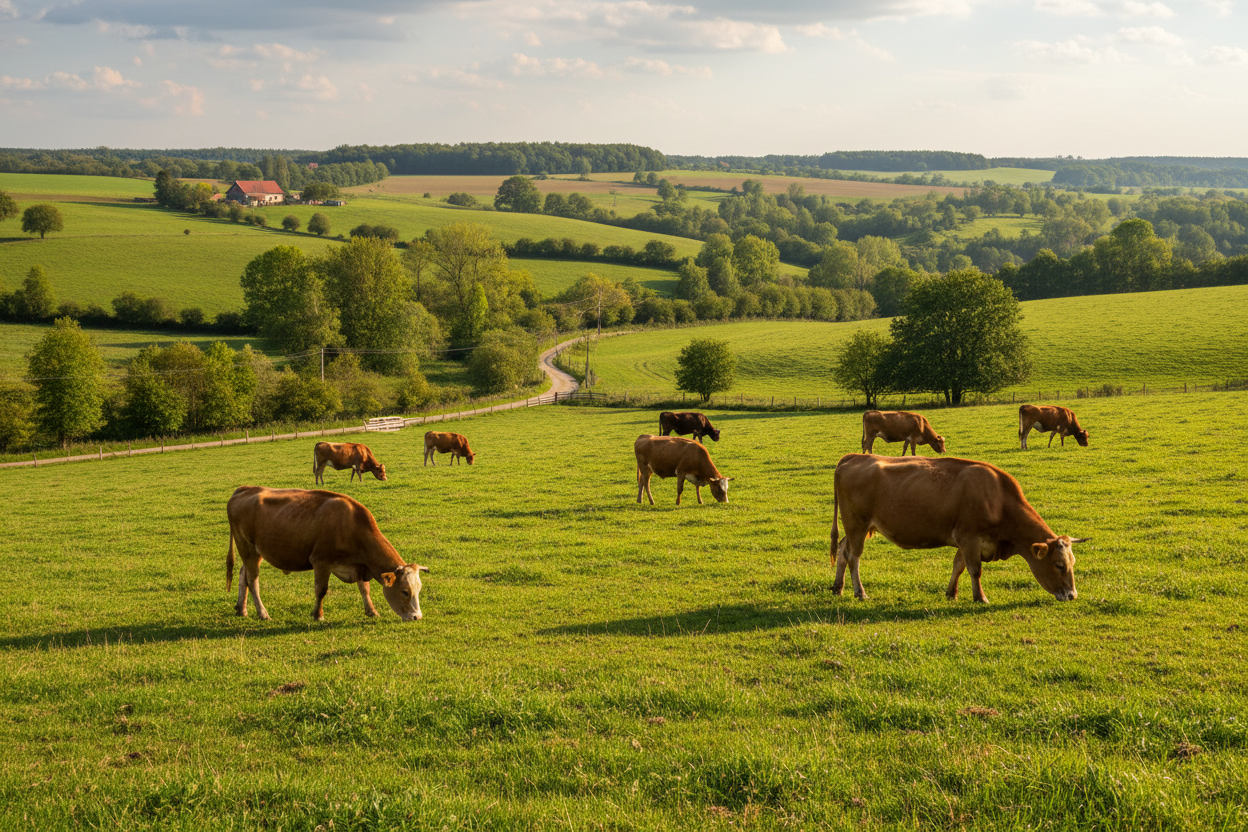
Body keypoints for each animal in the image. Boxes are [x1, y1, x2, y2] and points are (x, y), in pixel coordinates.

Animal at [225, 486, 429, 621]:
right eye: (404, 591)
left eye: (419, 589)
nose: (417, 617)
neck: (351, 524)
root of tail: (245, 489)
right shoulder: (320, 562)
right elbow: (321, 590)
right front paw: (318, 615)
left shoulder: (360, 565)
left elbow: (364, 588)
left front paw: (371, 611)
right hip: (247, 548)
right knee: (253, 581)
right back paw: (262, 613)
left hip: (253, 552)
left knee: (243, 574)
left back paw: (241, 609)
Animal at [830, 454, 1088, 603]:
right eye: (1059, 565)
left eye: (1073, 563)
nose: (1072, 595)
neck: (998, 498)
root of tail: (853, 457)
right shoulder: (969, 537)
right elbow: (974, 569)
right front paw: (980, 597)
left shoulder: (965, 540)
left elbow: (958, 566)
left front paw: (951, 593)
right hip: (857, 524)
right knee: (853, 557)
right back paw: (859, 592)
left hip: (856, 527)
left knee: (842, 550)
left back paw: (837, 587)